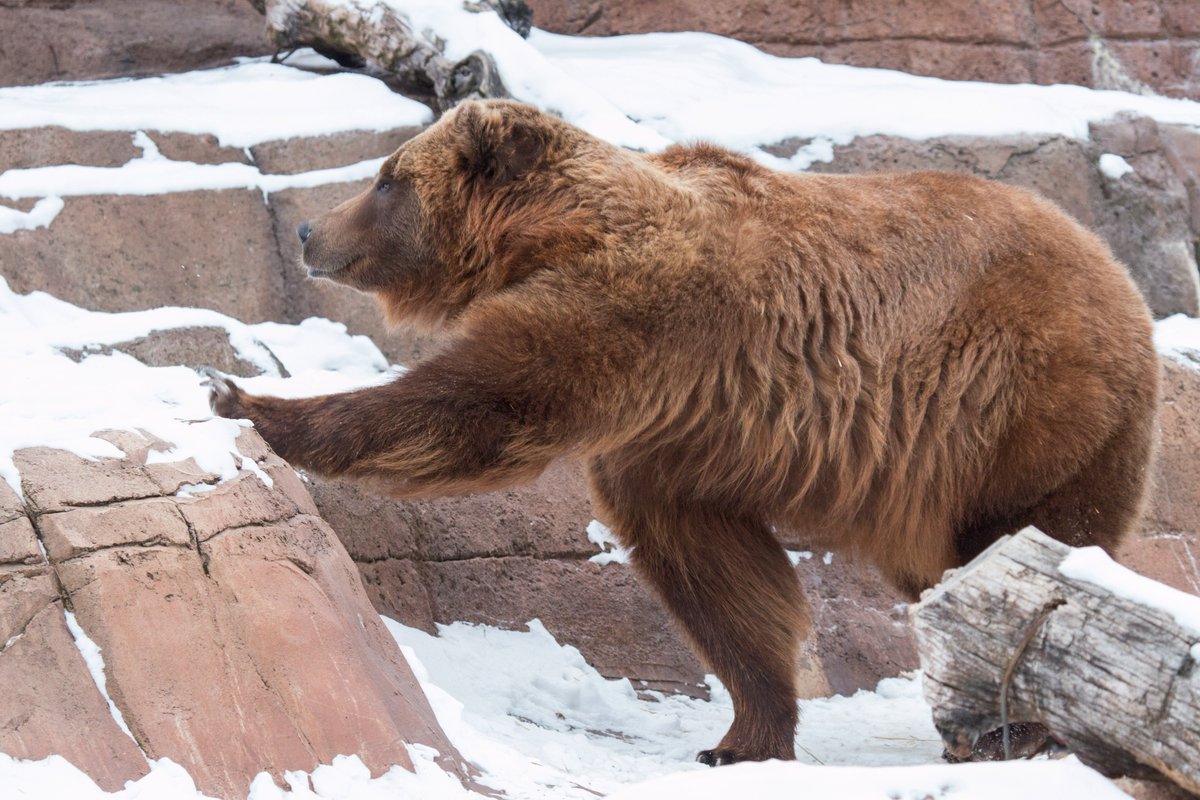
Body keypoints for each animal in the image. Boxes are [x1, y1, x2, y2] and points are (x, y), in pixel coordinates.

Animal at [204, 99, 1159, 766]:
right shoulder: (677, 436)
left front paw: (244, 399)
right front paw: (742, 736)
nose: (309, 227)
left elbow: (475, 405)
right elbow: (718, 578)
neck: (547, 235)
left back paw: (1014, 725)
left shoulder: (639, 322)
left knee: (1029, 543)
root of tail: (1117, 271)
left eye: (386, 177)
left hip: (1022, 409)